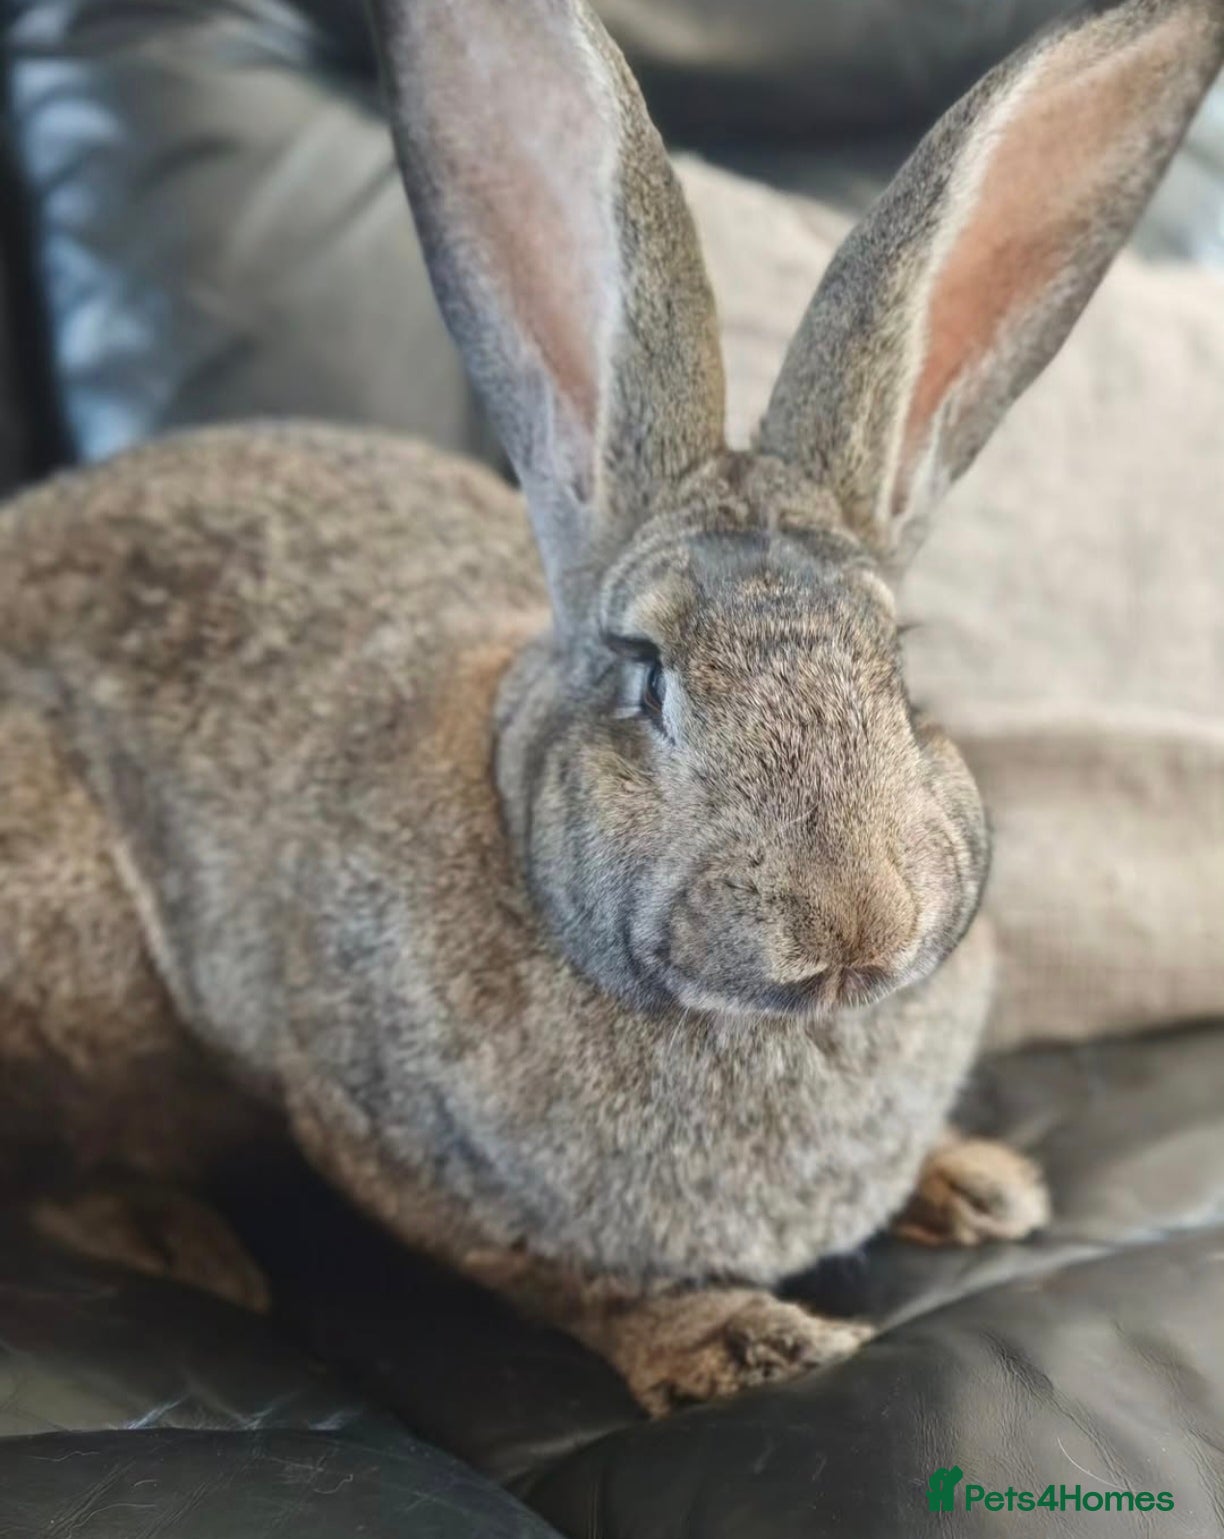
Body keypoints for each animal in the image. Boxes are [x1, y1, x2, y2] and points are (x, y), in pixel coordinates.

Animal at [1, 0, 1220, 1415]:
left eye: (899, 665)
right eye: (647, 673)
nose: (857, 919)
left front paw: (974, 1181)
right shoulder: (397, 1151)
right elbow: (566, 1280)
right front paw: (744, 1343)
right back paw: (175, 1242)